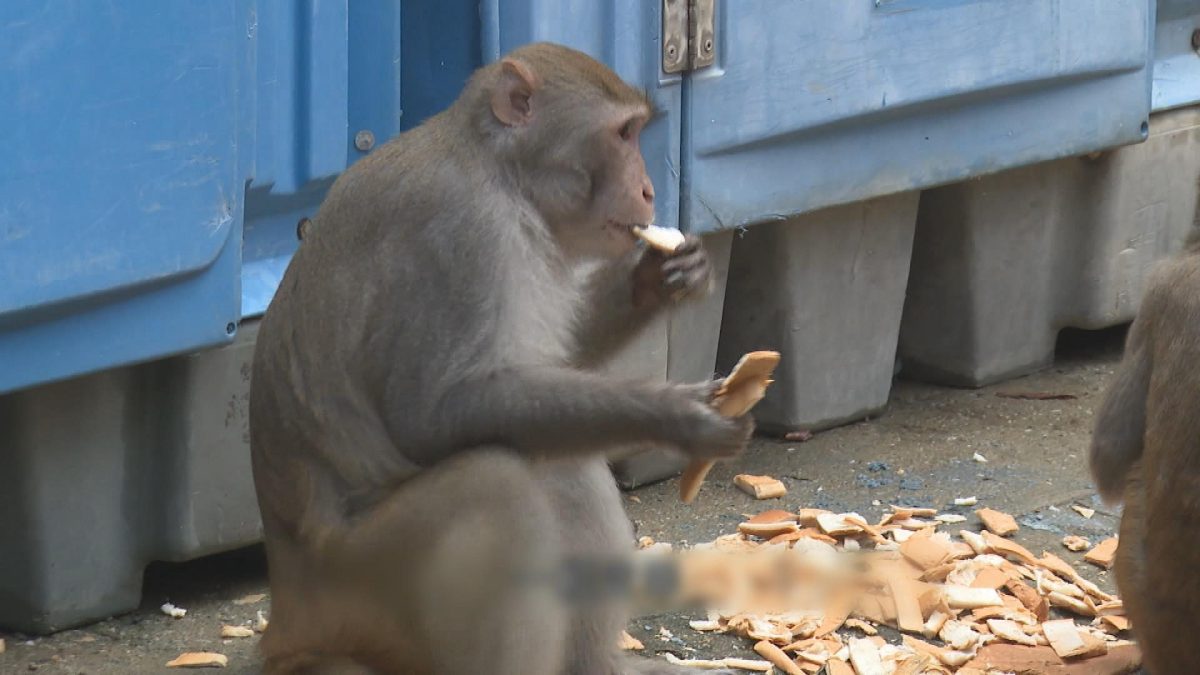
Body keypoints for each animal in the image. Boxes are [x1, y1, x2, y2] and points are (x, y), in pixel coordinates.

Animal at [249, 42, 753, 675]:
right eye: (623, 134)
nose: (647, 190)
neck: (502, 175)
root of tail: (287, 617)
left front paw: (659, 278)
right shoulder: (462, 233)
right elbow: (435, 413)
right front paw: (677, 416)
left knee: (561, 464)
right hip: (360, 589)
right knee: (501, 487)